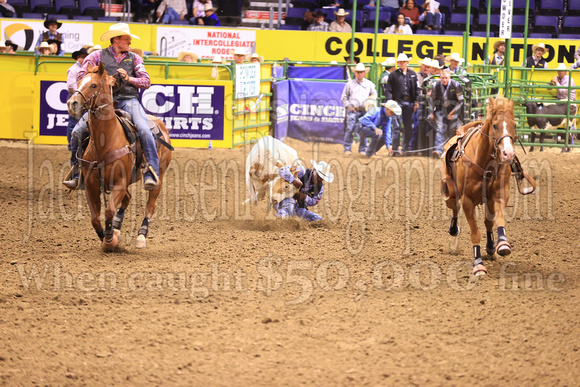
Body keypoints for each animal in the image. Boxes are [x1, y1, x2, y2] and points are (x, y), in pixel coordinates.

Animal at [67, 63, 171, 252]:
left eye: (94, 85)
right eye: (78, 82)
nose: (72, 103)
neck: (105, 142)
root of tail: (160, 124)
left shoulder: (120, 183)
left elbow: (108, 211)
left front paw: (109, 239)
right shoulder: (91, 186)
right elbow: (95, 218)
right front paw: (106, 235)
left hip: (159, 175)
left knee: (150, 206)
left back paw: (141, 236)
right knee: (127, 199)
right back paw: (116, 227)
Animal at [440, 96, 540, 276]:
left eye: (514, 125)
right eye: (494, 125)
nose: (508, 154)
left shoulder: (500, 193)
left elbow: (498, 219)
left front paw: (502, 244)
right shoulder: (467, 201)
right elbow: (475, 232)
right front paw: (478, 264)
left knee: (488, 221)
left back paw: (491, 247)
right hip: (450, 193)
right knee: (455, 209)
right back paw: (454, 229)